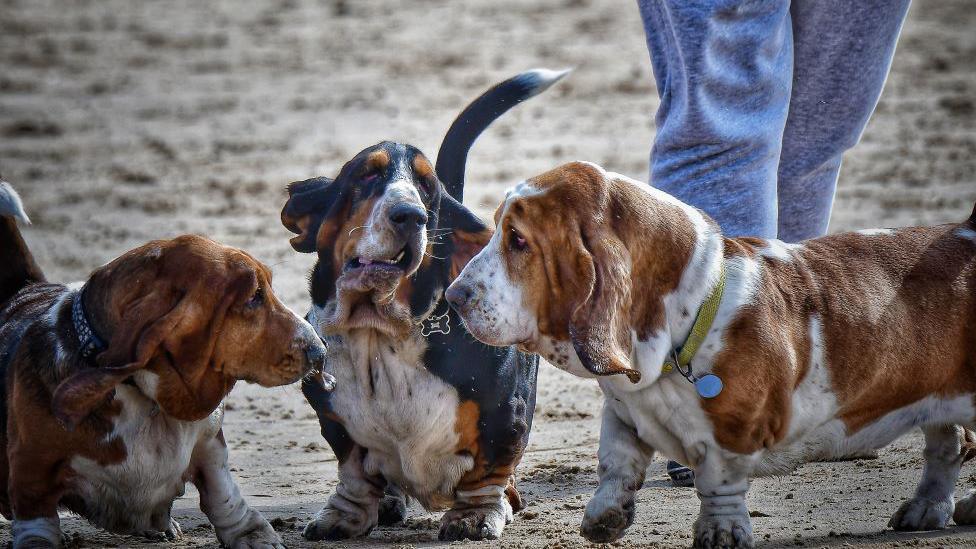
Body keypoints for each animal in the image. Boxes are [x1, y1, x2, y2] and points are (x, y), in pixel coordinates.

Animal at [0, 181, 332, 548]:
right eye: (254, 297)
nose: (320, 350)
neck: (144, 398)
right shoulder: (32, 470)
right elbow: (37, 523)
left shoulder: (210, 445)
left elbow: (223, 495)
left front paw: (253, 535)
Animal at [278, 67, 568, 540]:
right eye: (366, 177)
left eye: (427, 188)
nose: (410, 216)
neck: (382, 330)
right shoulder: (333, 416)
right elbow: (354, 472)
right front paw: (344, 515)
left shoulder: (504, 415)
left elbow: (489, 469)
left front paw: (475, 516)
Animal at [448, 162, 976, 548]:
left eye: (518, 240)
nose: (454, 296)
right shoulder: (622, 411)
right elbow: (616, 461)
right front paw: (604, 517)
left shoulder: (730, 432)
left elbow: (717, 482)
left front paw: (720, 533)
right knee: (947, 444)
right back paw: (928, 509)